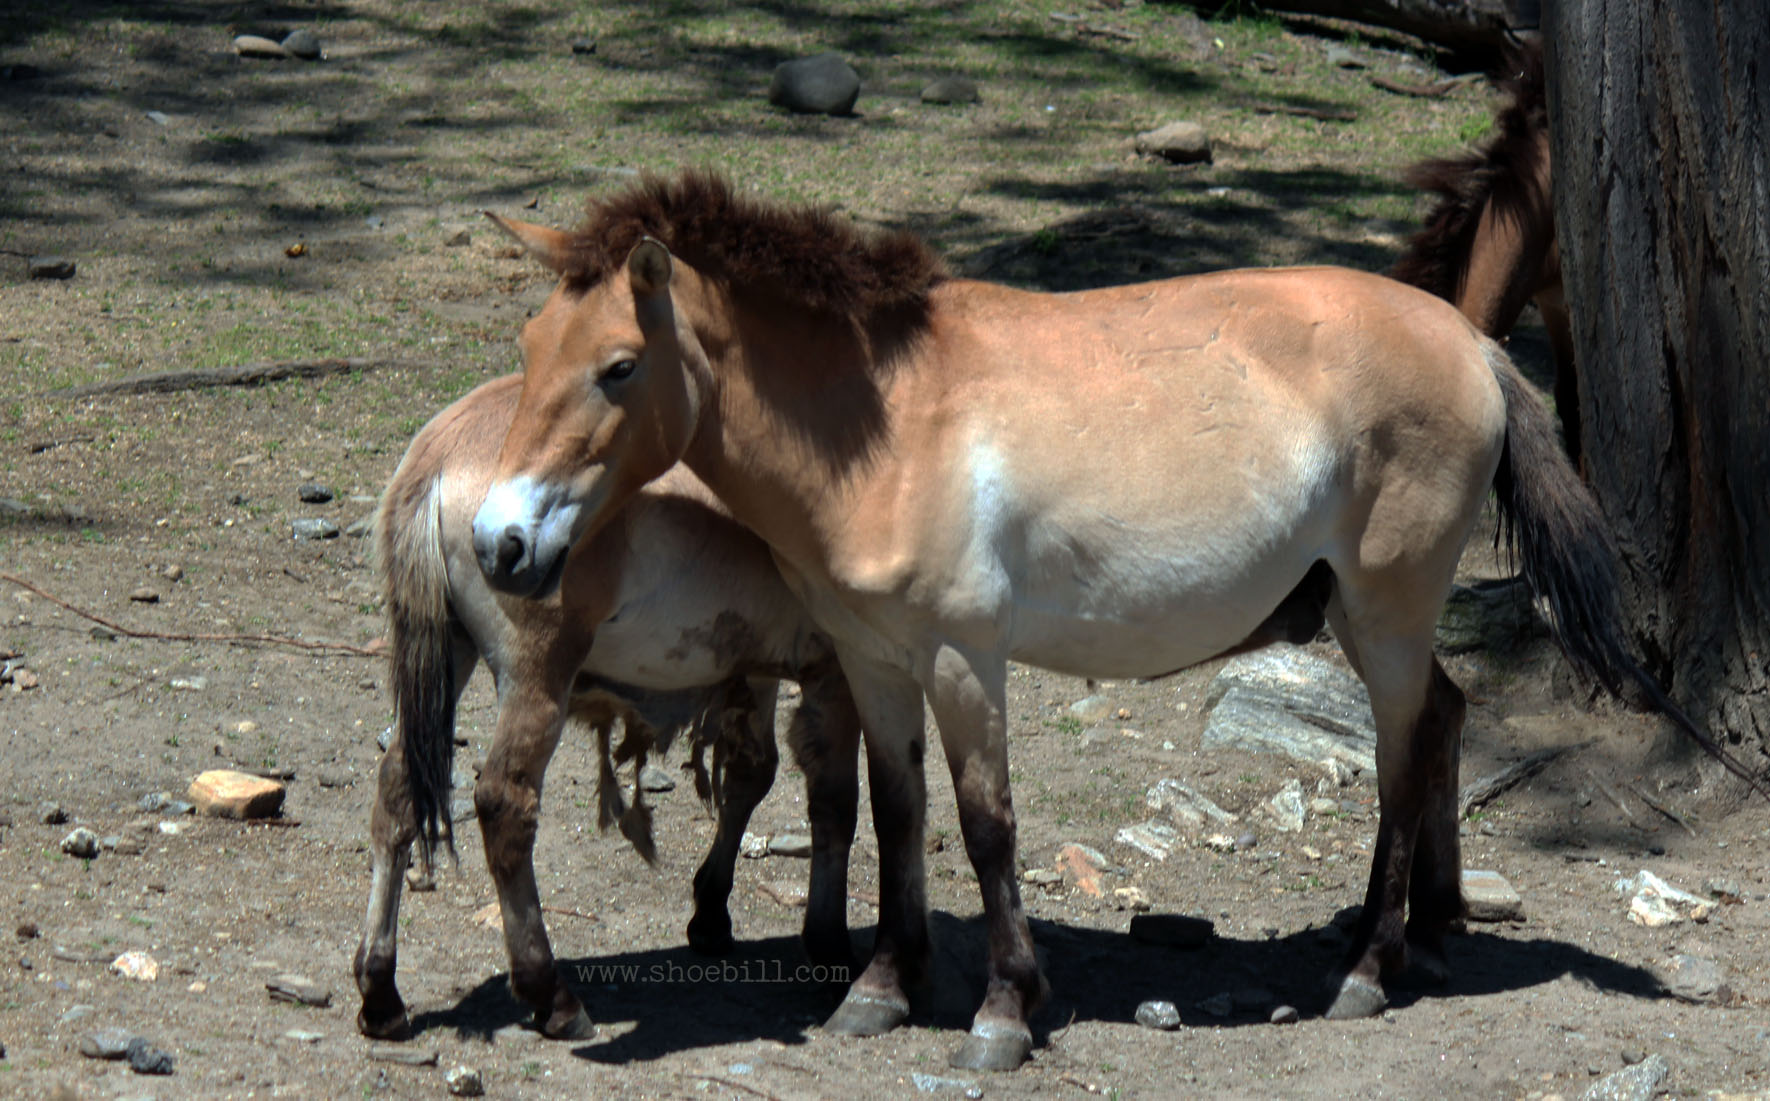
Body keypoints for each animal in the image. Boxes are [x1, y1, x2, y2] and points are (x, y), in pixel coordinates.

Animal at [354, 377, 863, 1040]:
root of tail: (443, 447)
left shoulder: (754, 665)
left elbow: (752, 774)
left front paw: (711, 912)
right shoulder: (841, 670)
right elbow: (835, 803)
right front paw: (830, 947)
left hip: (448, 654)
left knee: (396, 791)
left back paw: (380, 990)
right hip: (536, 675)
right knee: (504, 804)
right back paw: (550, 993)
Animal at [463, 170, 1748, 1069]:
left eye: (618, 366)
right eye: (529, 349)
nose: (499, 545)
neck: (891, 425)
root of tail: (1472, 342)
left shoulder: (964, 660)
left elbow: (986, 826)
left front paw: (1003, 1011)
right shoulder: (875, 661)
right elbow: (895, 815)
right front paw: (881, 989)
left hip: (1383, 613)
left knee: (1405, 748)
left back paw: (1370, 970)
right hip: (1372, 618)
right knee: (1443, 720)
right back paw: (1428, 931)